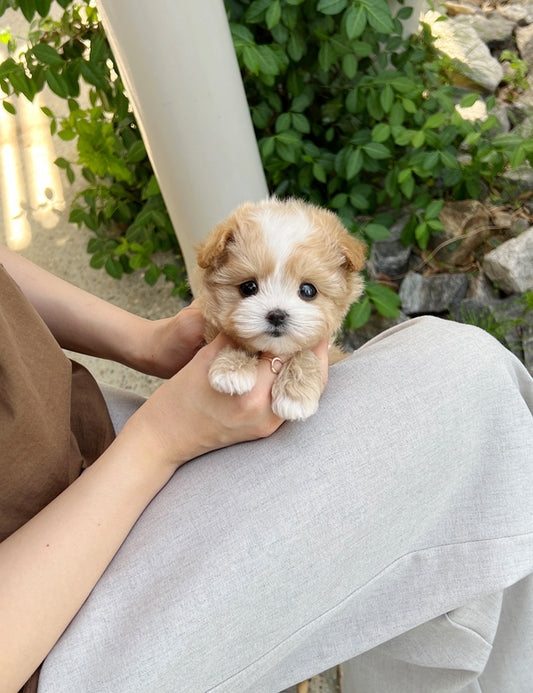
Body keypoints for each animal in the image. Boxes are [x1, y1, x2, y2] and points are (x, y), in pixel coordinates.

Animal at [195, 197, 366, 418]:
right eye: (248, 287)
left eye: (308, 290)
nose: (277, 315)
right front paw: (232, 369)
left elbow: (306, 352)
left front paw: (295, 395)